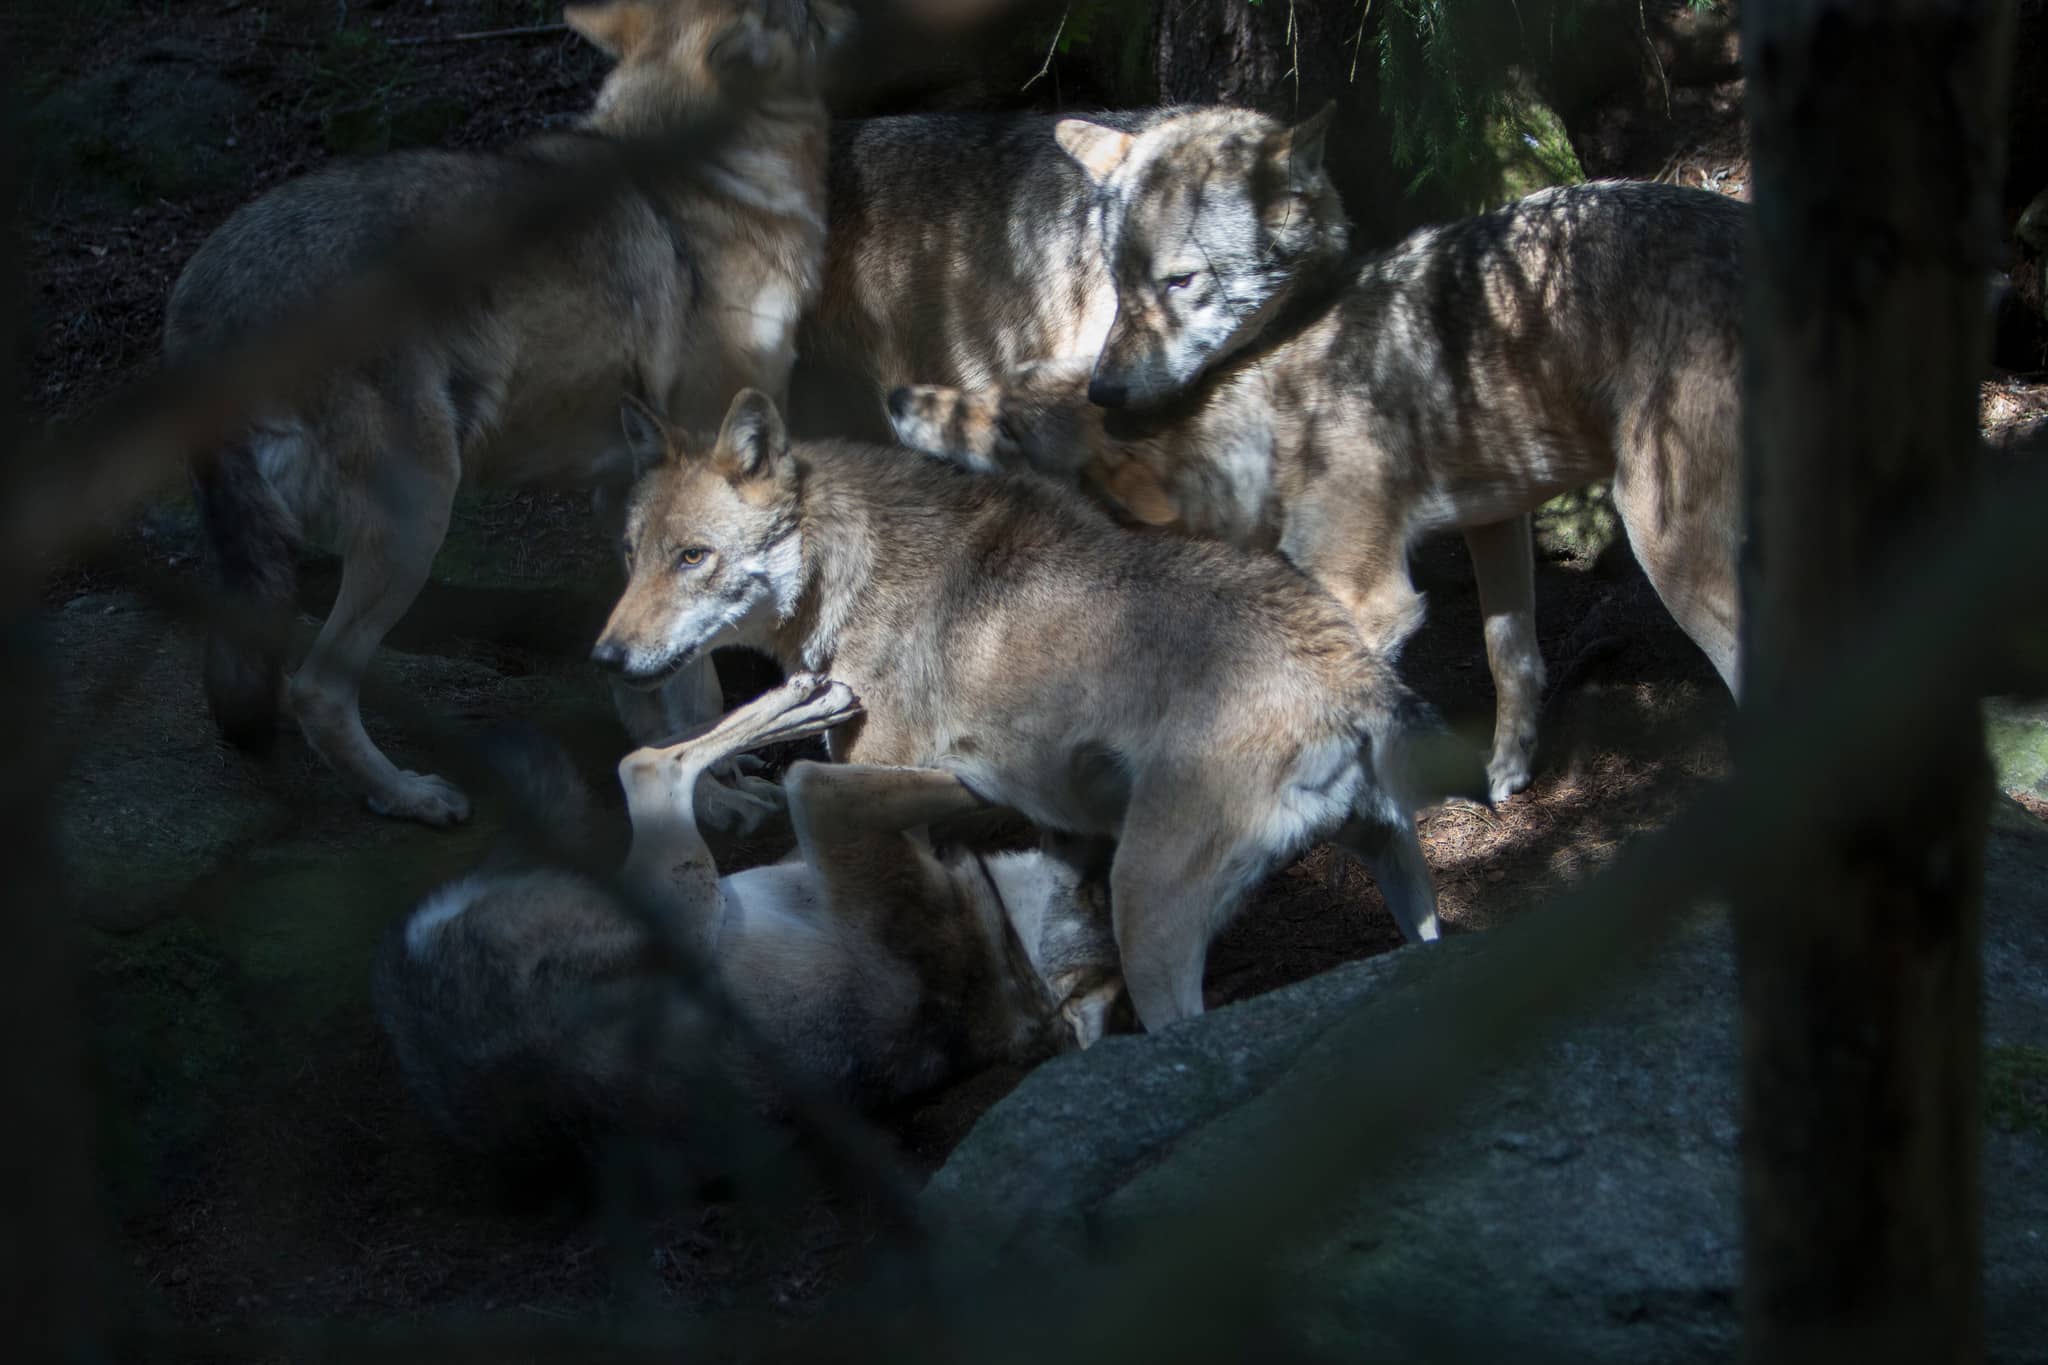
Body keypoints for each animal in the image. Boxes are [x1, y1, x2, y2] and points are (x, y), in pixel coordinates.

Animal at [167, 0, 847, 826]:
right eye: (796, 12)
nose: (838, 12)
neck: (718, 180)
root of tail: (207, 301)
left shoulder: (627, 496)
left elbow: (648, 672)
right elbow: (696, 683)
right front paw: (714, 802)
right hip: (417, 520)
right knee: (315, 689)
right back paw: (409, 796)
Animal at [376, 671, 1130, 1154]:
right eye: (1104, 893)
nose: (1105, 847)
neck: (1009, 950)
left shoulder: (829, 808)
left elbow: (935, 781)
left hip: (686, 890)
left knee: (647, 762)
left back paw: (796, 702)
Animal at [892, 175, 1744, 806]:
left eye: (1007, 430)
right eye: (998, 387)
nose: (897, 396)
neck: (1270, 424)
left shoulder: (1371, 597)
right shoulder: (1497, 520)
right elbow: (1514, 659)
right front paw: (1506, 772)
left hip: (1670, 549)